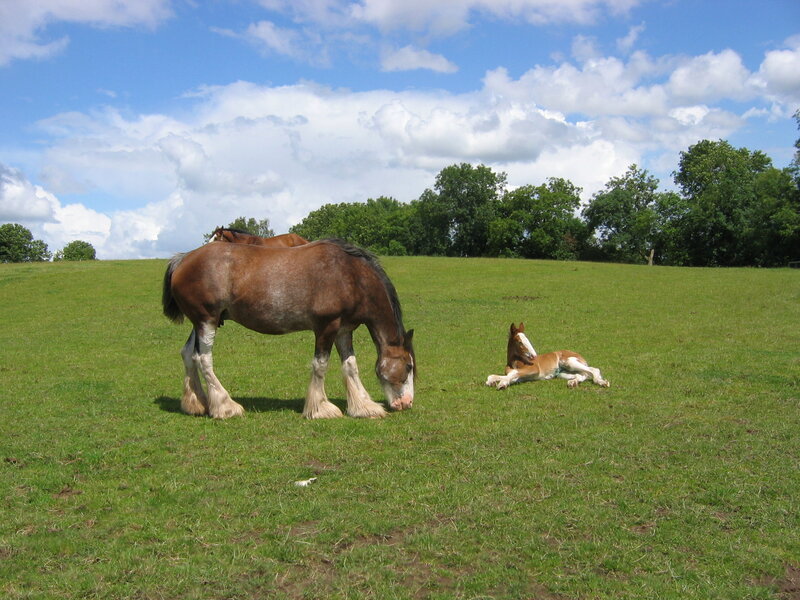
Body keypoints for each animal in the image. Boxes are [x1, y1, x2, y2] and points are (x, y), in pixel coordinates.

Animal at [162, 239, 415, 419]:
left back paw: (196, 404)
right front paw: (320, 409)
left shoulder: (344, 330)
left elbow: (351, 366)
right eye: (409, 366)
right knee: (203, 359)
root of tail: (183, 259)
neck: (349, 275)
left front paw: (363, 406)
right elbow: (320, 365)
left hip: (201, 323)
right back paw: (225, 407)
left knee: (188, 354)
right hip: (207, 321)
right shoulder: (326, 327)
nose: (407, 403)